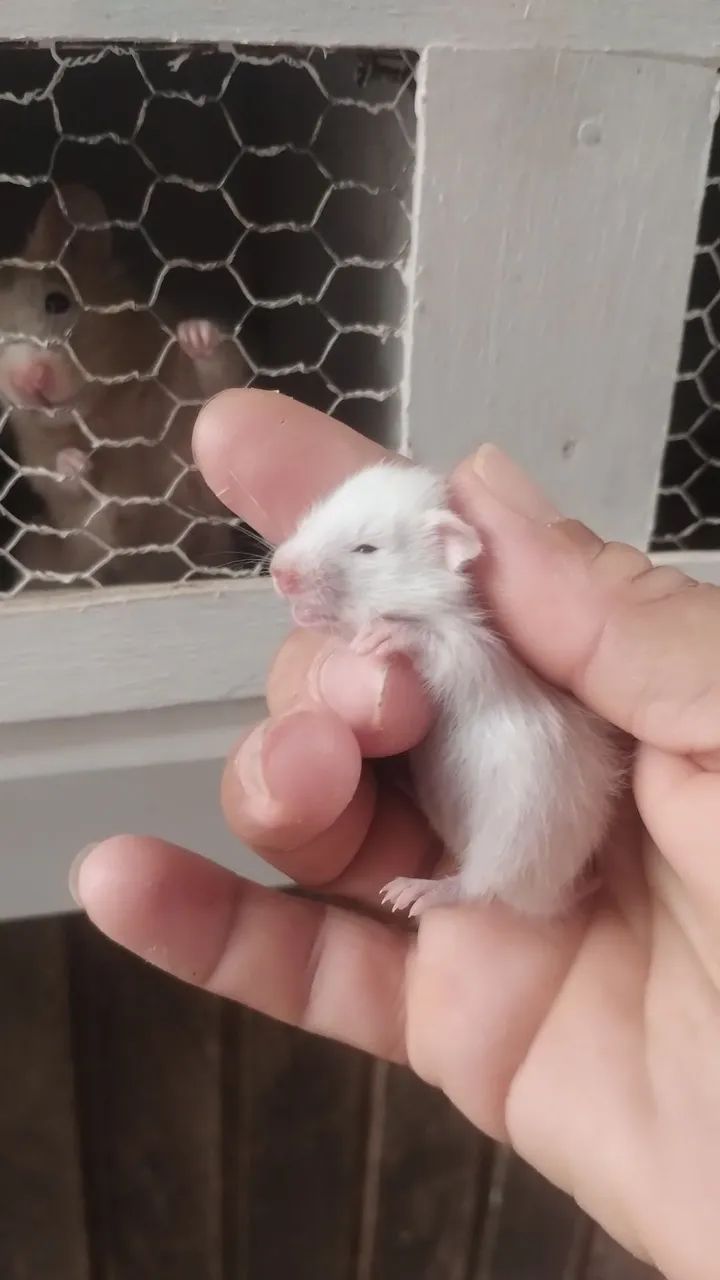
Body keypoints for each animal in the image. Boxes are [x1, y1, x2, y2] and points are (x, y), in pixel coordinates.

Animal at [0, 184, 249, 586]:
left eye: (57, 301)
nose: (28, 380)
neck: (105, 411)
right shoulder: (43, 468)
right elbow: (67, 490)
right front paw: (74, 462)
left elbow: (217, 388)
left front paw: (194, 334)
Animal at [269, 461, 622, 918]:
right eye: (310, 519)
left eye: (366, 549)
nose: (278, 572)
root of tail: (552, 895)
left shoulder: (482, 654)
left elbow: (445, 648)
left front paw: (386, 635)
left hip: (519, 826)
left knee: (479, 885)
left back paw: (415, 892)